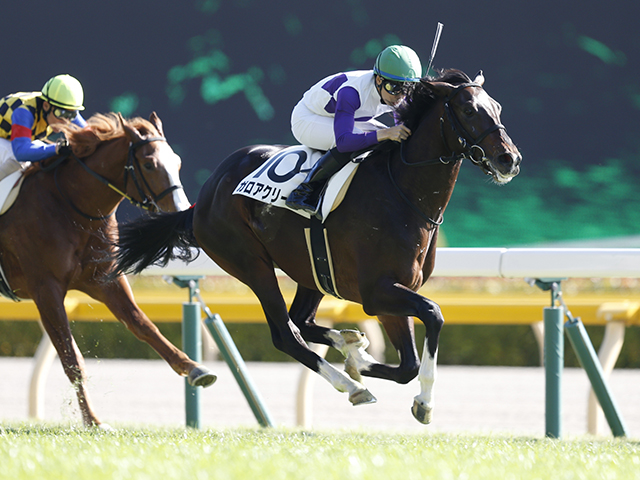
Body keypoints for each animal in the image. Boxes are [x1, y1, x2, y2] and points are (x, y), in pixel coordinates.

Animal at [0, 112, 215, 428]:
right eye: (149, 164)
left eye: (177, 162)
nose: (180, 211)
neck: (70, 207)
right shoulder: (46, 288)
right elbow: (71, 358)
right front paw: (93, 420)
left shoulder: (104, 280)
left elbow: (142, 324)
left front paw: (195, 369)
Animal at [116, 70, 520, 424]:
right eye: (469, 110)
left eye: (498, 107)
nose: (509, 159)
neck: (403, 192)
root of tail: (205, 194)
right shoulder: (378, 292)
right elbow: (433, 316)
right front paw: (419, 399)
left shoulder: (394, 293)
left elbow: (408, 364)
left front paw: (361, 360)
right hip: (251, 263)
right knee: (286, 334)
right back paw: (350, 384)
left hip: (313, 271)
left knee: (302, 320)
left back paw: (349, 342)